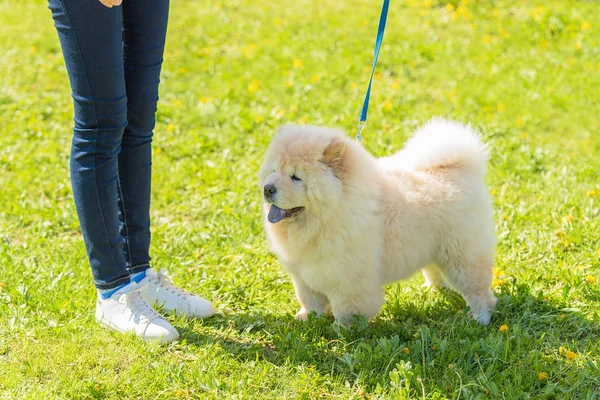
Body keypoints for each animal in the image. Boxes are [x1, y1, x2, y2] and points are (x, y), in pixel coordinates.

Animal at [258, 119, 496, 324]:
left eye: (296, 177)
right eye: (273, 170)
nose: (268, 188)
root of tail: (460, 167)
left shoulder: (348, 278)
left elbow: (348, 309)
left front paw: (344, 330)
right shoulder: (303, 274)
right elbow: (311, 300)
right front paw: (308, 318)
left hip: (462, 256)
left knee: (478, 290)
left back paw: (479, 318)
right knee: (434, 271)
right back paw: (432, 290)